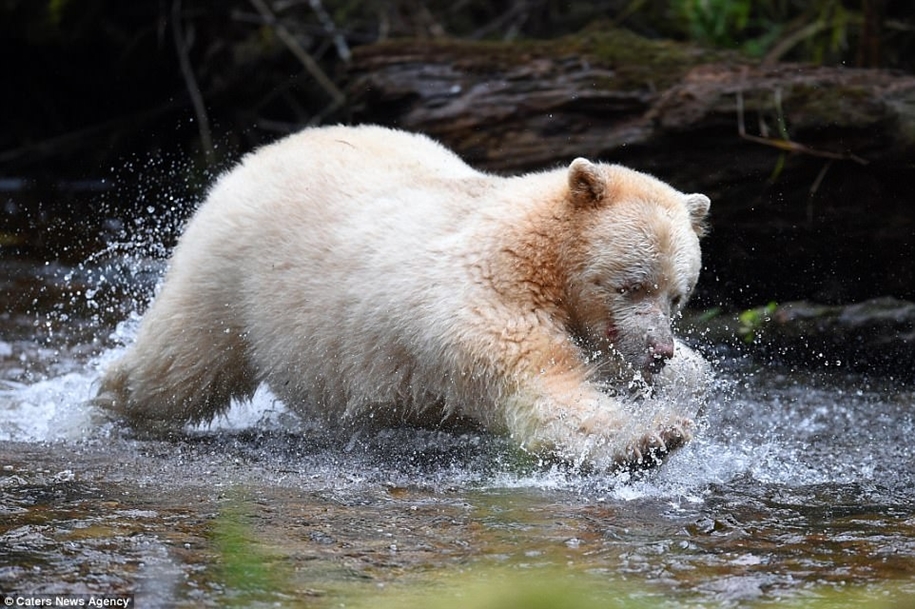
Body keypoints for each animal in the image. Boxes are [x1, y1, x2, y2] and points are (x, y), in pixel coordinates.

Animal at [100, 124, 716, 470]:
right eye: (629, 285)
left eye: (678, 296)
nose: (658, 350)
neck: (536, 254)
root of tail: (260, 154)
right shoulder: (483, 301)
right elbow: (545, 386)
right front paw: (652, 439)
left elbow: (681, 371)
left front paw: (678, 392)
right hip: (231, 274)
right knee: (181, 364)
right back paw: (109, 400)